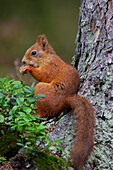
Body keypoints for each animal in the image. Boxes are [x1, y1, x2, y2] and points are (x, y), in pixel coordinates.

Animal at [19, 34, 94, 169]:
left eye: (34, 52)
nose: (23, 61)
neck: (47, 57)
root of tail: (58, 105)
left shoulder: (51, 67)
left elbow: (43, 75)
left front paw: (27, 68)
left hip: (41, 89)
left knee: (43, 113)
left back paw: (34, 113)